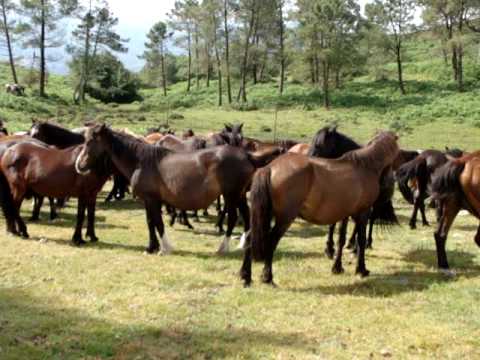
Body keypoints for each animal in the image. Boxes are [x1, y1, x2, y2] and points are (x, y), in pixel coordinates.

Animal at [75, 125, 282, 255]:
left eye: (91, 141)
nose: (79, 165)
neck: (141, 161)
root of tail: (247, 155)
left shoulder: (152, 200)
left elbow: (157, 223)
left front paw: (164, 248)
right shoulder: (148, 200)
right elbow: (150, 222)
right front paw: (151, 247)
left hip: (231, 195)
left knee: (232, 218)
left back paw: (223, 248)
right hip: (238, 195)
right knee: (246, 215)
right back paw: (243, 245)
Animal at [238, 131, 400, 286]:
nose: (391, 184)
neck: (365, 166)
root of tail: (269, 168)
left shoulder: (345, 213)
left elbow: (341, 239)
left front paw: (337, 267)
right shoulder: (363, 212)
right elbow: (360, 240)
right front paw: (361, 269)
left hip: (266, 214)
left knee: (250, 237)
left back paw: (246, 276)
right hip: (284, 218)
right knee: (271, 242)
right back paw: (267, 277)